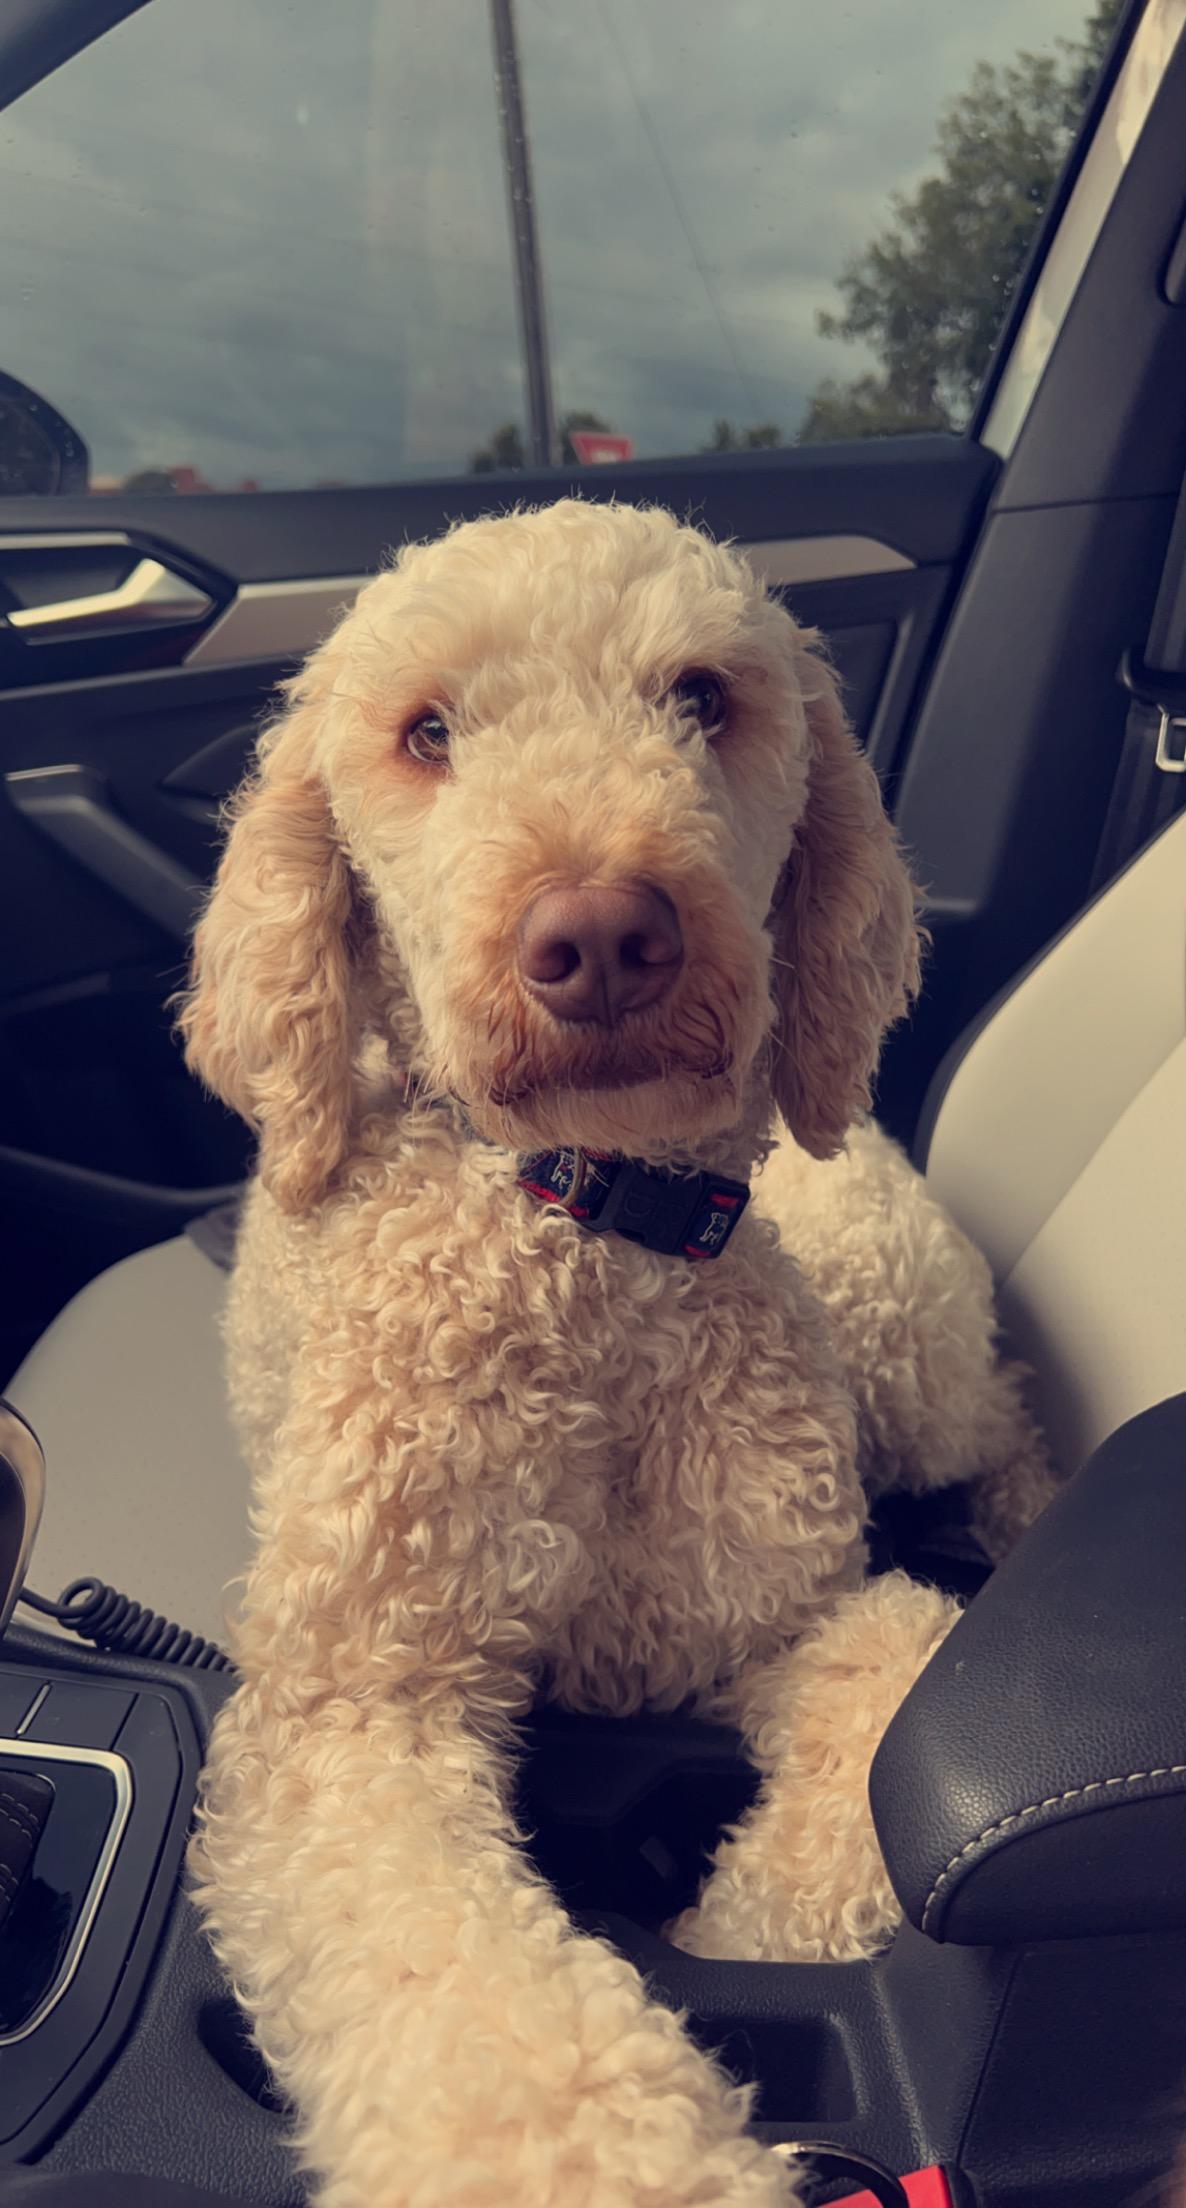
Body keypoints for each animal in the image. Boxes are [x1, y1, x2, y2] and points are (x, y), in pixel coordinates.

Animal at [181, 500, 1056, 2208]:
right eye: (427, 731)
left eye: (702, 699)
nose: (597, 934)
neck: (591, 1242)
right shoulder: (351, 1720)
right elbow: (499, 2031)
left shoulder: (791, 1614)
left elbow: (870, 1755)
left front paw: (713, 1932)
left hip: (901, 1341)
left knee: (998, 1423)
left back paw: (1032, 1515)